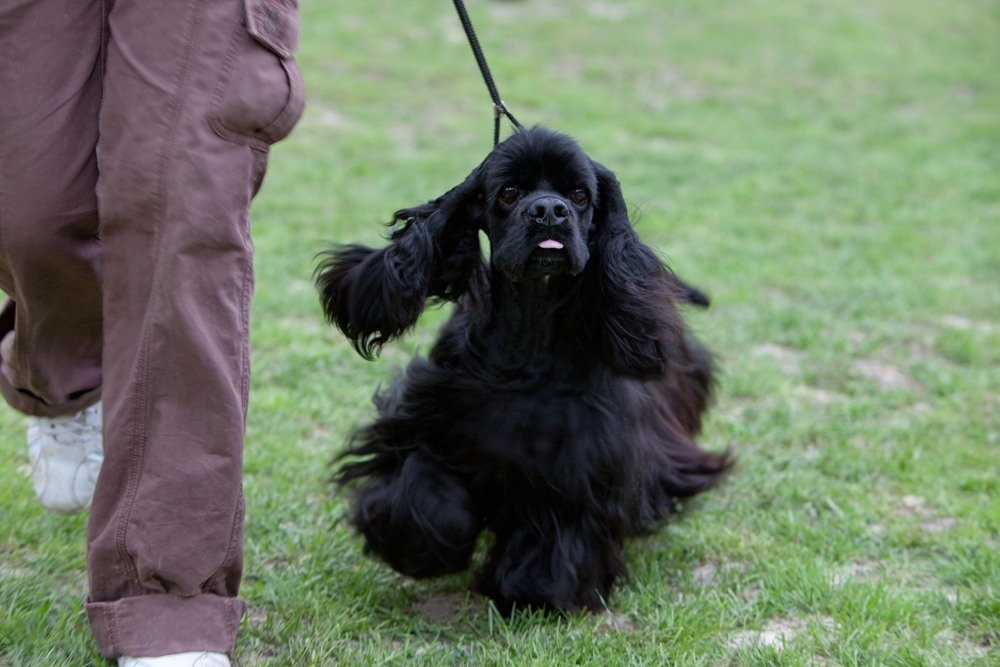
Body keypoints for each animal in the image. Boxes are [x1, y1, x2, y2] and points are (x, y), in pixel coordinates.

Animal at [316, 125, 732, 616]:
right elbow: (424, 495)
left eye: (579, 195)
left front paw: (537, 589)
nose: (549, 210)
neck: (529, 338)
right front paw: (420, 548)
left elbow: (556, 535)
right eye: (509, 193)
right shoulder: (428, 421)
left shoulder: (581, 462)